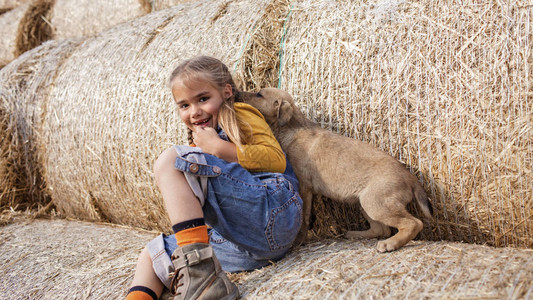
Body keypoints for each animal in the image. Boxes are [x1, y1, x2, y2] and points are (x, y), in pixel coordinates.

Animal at [241, 88, 432, 252]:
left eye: (259, 94)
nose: (238, 93)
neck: (292, 128)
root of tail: (410, 177)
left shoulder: (304, 186)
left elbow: (304, 218)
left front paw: (299, 240)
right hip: (364, 201)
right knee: (381, 229)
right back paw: (355, 234)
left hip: (375, 202)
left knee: (413, 223)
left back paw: (390, 244)